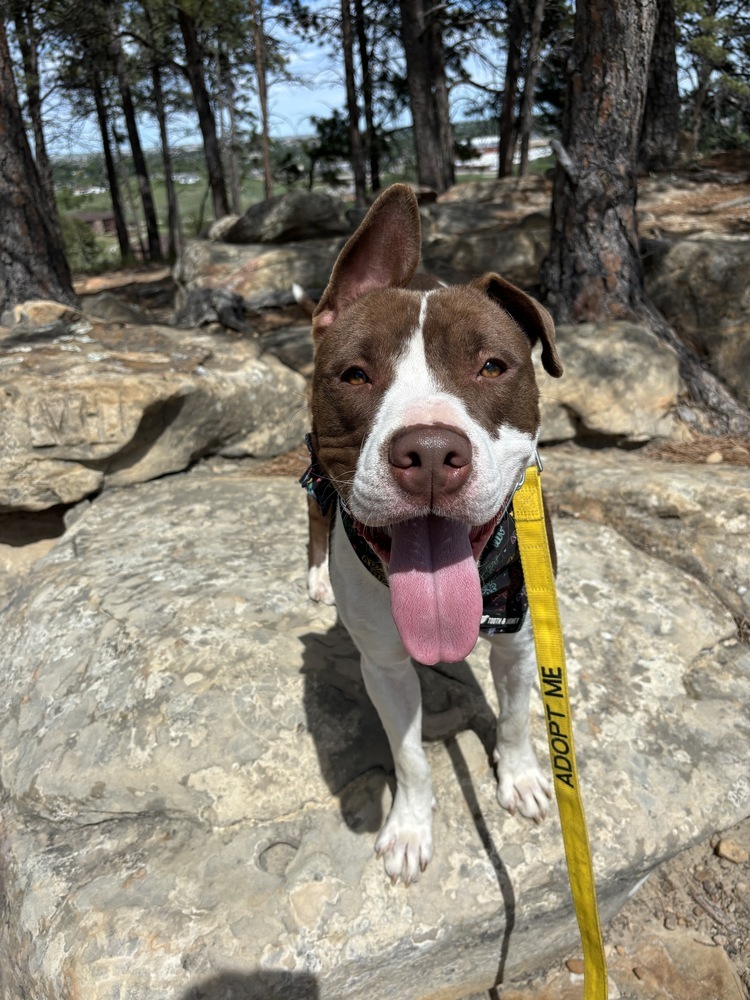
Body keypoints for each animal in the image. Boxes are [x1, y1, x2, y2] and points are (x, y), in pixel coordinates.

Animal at [302, 182, 564, 884]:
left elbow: (516, 718)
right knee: (314, 517)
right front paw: (408, 830)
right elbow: (411, 755)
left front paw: (521, 778)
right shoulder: (386, 666)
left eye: (493, 367)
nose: (427, 453)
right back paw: (315, 578)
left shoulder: (519, 638)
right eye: (355, 374)